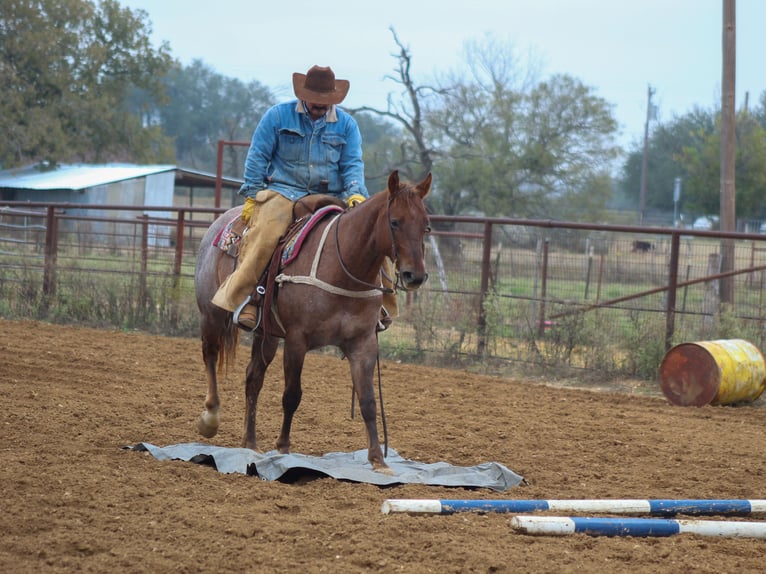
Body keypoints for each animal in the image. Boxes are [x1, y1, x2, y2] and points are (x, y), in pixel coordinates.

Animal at [193, 170, 432, 473]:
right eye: (395, 222)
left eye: (426, 226)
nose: (416, 276)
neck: (343, 266)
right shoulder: (297, 340)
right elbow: (292, 395)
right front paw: (283, 449)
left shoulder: (363, 343)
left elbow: (367, 400)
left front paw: (378, 460)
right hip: (211, 314)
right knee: (211, 356)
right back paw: (210, 419)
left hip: (267, 334)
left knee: (253, 378)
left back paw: (250, 444)